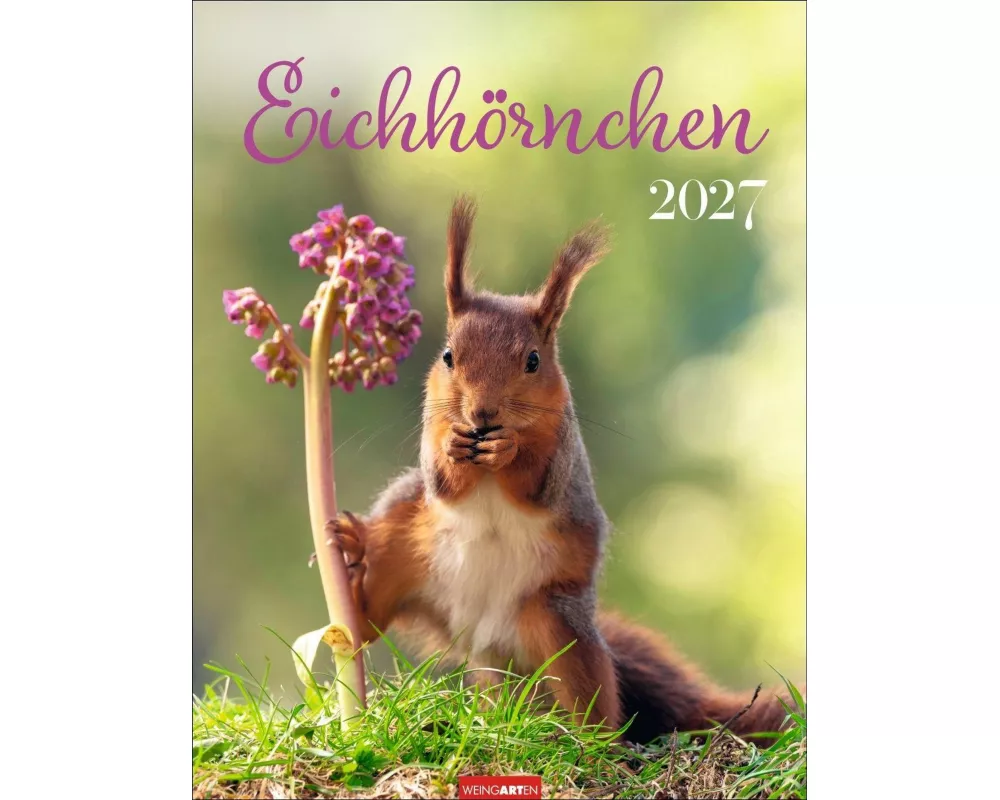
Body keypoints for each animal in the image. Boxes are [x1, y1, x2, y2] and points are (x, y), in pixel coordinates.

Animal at [327, 195, 798, 744]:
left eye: (533, 360)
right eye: (448, 356)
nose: (483, 414)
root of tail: (482, 635)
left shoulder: (563, 451)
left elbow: (537, 483)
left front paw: (508, 449)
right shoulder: (432, 430)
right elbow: (441, 481)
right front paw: (455, 446)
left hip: (557, 623)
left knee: (592, 695)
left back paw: (588, 741)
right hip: (401, 552)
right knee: (371, 620)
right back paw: (351, 569)